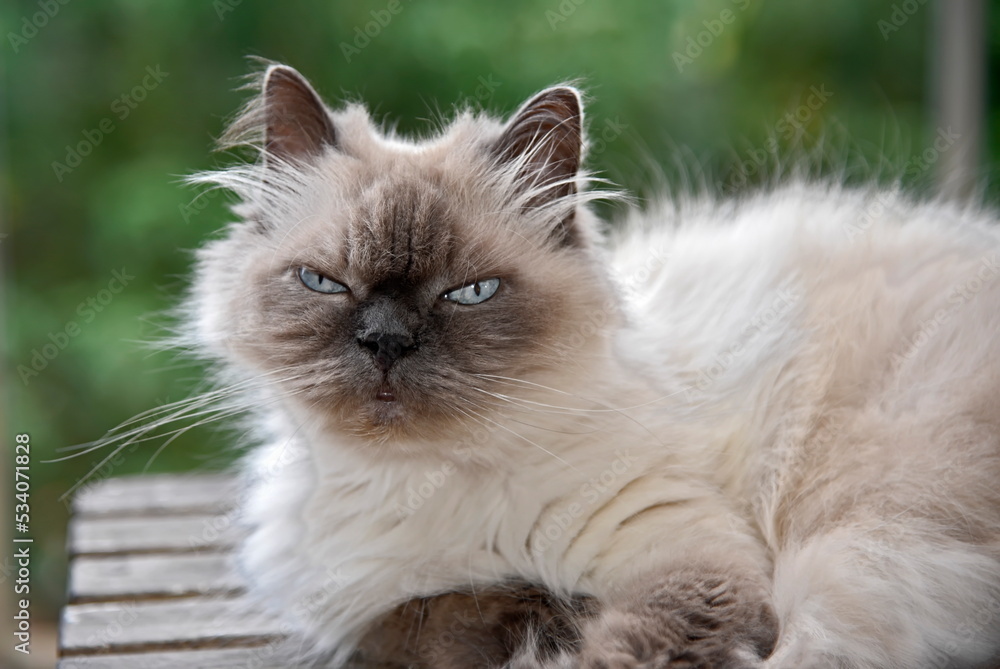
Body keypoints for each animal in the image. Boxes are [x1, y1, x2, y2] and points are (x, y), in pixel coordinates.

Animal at [182, 64, 1000, 668]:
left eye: (468, 292)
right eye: (325, 283)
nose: (386, 342)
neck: (414, 484)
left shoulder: (694, 565)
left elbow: (623, 647)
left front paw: (558, 633)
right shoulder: (373, 608)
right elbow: (423, 621)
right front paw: (533, 620)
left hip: (853, 545)